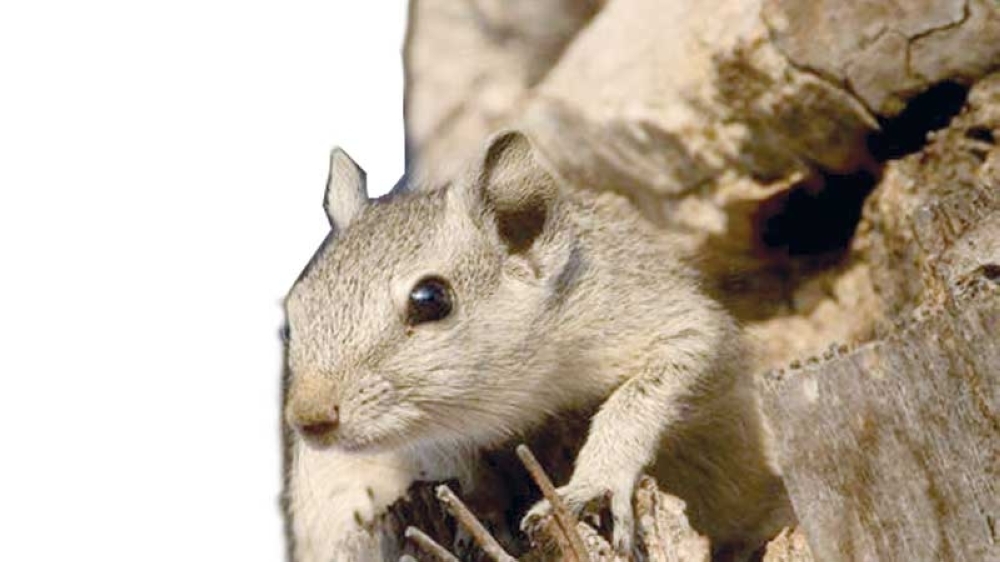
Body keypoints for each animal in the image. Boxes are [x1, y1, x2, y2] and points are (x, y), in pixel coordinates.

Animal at [282, 131, 794, 561]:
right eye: (295, 308)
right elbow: (447, 459)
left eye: (431, 299)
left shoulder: (672, 326)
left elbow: (637, 398)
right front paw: (480, 509)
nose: (308, 418)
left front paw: (592, 485)